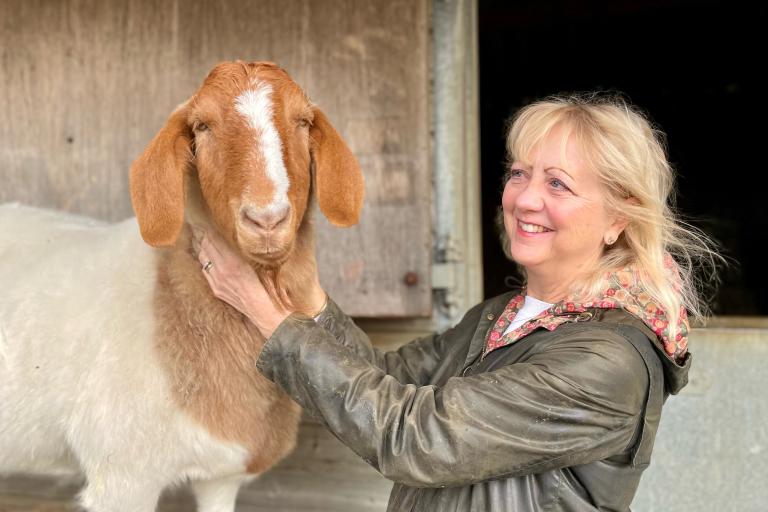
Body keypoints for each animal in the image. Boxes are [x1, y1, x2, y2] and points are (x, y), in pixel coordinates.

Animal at [0, 61, 366, 512]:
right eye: (202, 126)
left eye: (302, 121)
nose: (266, 219)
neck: (173, 301)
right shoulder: (123, 476)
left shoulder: (221, 476)